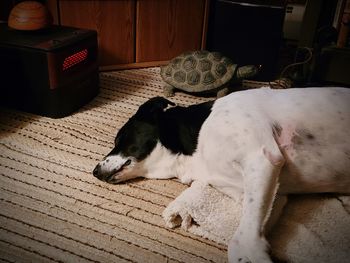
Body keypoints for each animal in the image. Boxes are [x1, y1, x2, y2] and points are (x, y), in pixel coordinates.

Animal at [93, 87, 350, 262]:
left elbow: (240, 241)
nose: (94, 171)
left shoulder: (261, 159)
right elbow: (253, 224)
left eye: (120, 138)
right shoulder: (266, 194)